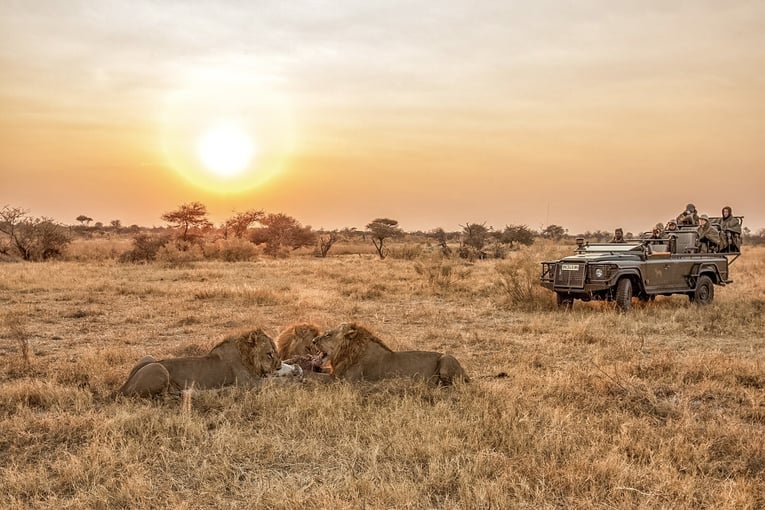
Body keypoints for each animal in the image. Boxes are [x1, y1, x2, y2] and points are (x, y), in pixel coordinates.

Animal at [118, 328, 286, 396]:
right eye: (269, 354)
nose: (279, 367)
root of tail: (123, 386)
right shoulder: (249, 383)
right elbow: (273, 382)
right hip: (159, 368)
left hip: (148, 358)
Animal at [312, 320, 468, 384]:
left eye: (328, 334)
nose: (313, 341)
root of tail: (464, 371)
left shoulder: (344, 380)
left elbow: (316, 377)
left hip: (446, 358)